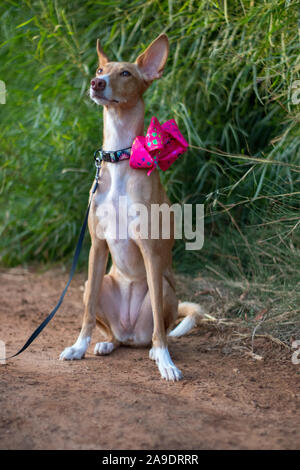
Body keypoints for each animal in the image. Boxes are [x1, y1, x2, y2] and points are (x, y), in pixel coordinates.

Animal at [59, 33, 202, 380]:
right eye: (100, 68)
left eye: (125, 73)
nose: (97, 83)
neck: (119, 157)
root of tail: (129, 332)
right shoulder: (96, 246)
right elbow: (86, 315)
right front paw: (79, 347)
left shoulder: (150, 249)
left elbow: (162, 330)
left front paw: (166, 362)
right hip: (91, 285)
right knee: (112, 332)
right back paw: (107, 343)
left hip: (164, 289)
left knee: (158, 329)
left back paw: (153, 351)